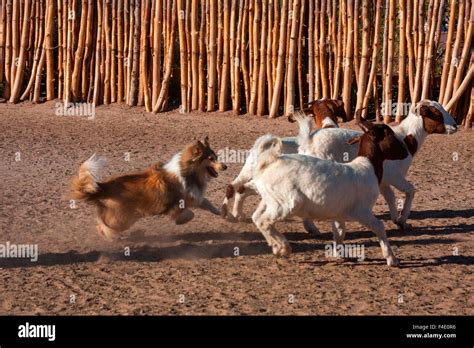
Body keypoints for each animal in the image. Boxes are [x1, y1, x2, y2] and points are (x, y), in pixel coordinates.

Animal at [69, 137, 227, 241]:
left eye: (216, 157)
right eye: (211, 159)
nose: (225, 166)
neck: (188, 171)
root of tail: (102, 187)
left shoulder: (194, 197)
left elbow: (208, 203)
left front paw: (223, 213)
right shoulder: (177, 204)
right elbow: (189, 214)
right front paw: (180, 221)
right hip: (123, 218)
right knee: (103, 226)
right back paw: (113, 237)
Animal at [250, 113, 410, 266]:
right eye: (389, 134)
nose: (405, 153)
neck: (367, 166)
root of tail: (267, 164)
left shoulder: (339, 213)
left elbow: (339, 232)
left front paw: (338, 253)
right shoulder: (361, 211)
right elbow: (379, 227)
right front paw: (392, 259)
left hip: (271, 200)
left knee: (257, 218)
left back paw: (276, 246)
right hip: (286, 204)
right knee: (264, 221)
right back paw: (284, 248)